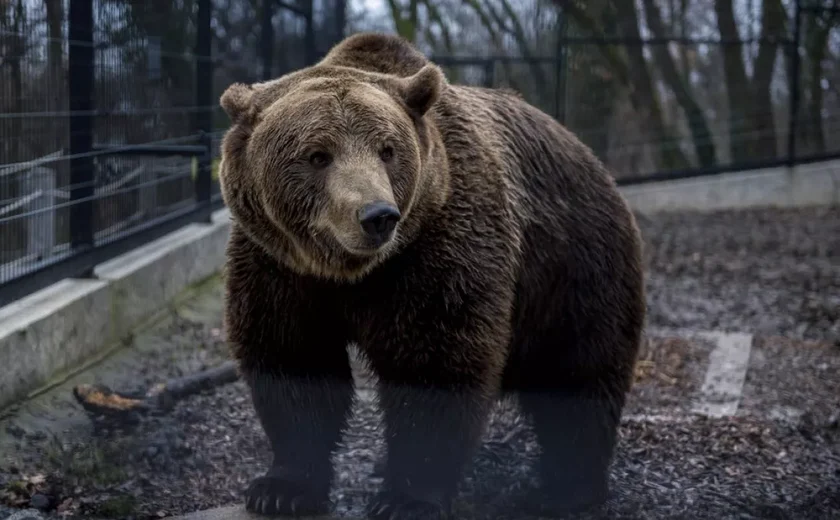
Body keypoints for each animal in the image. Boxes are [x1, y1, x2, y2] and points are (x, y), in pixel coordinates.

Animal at [217, 32, 644, 520]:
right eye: (317, 155)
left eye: (387, 149)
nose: (377, 216)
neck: (352, 272)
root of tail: (590, 157)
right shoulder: (279, 266)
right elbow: (293, 360)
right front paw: (281, 488)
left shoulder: (438, 251)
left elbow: (434, 363)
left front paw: (406, 498)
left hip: (575, 263)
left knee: (579, 371)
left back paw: (569, 487)